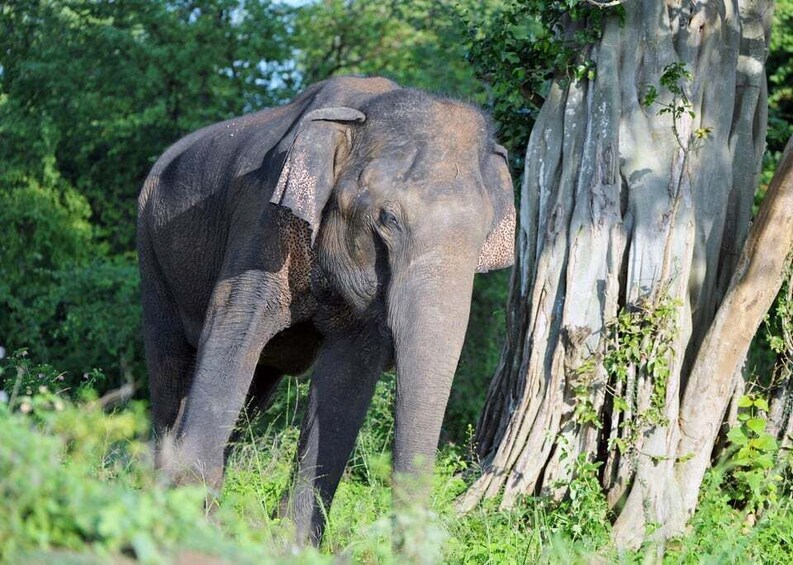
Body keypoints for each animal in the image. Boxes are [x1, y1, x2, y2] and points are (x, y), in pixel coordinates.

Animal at [137, 76, 515, 544]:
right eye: (388, 220)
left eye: (483, 235)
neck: (364, 111)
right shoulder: (263, 221)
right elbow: (233, 333)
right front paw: (194, 526)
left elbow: (345, 379)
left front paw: (291, 545)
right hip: (151, 252)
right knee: (171, 367)